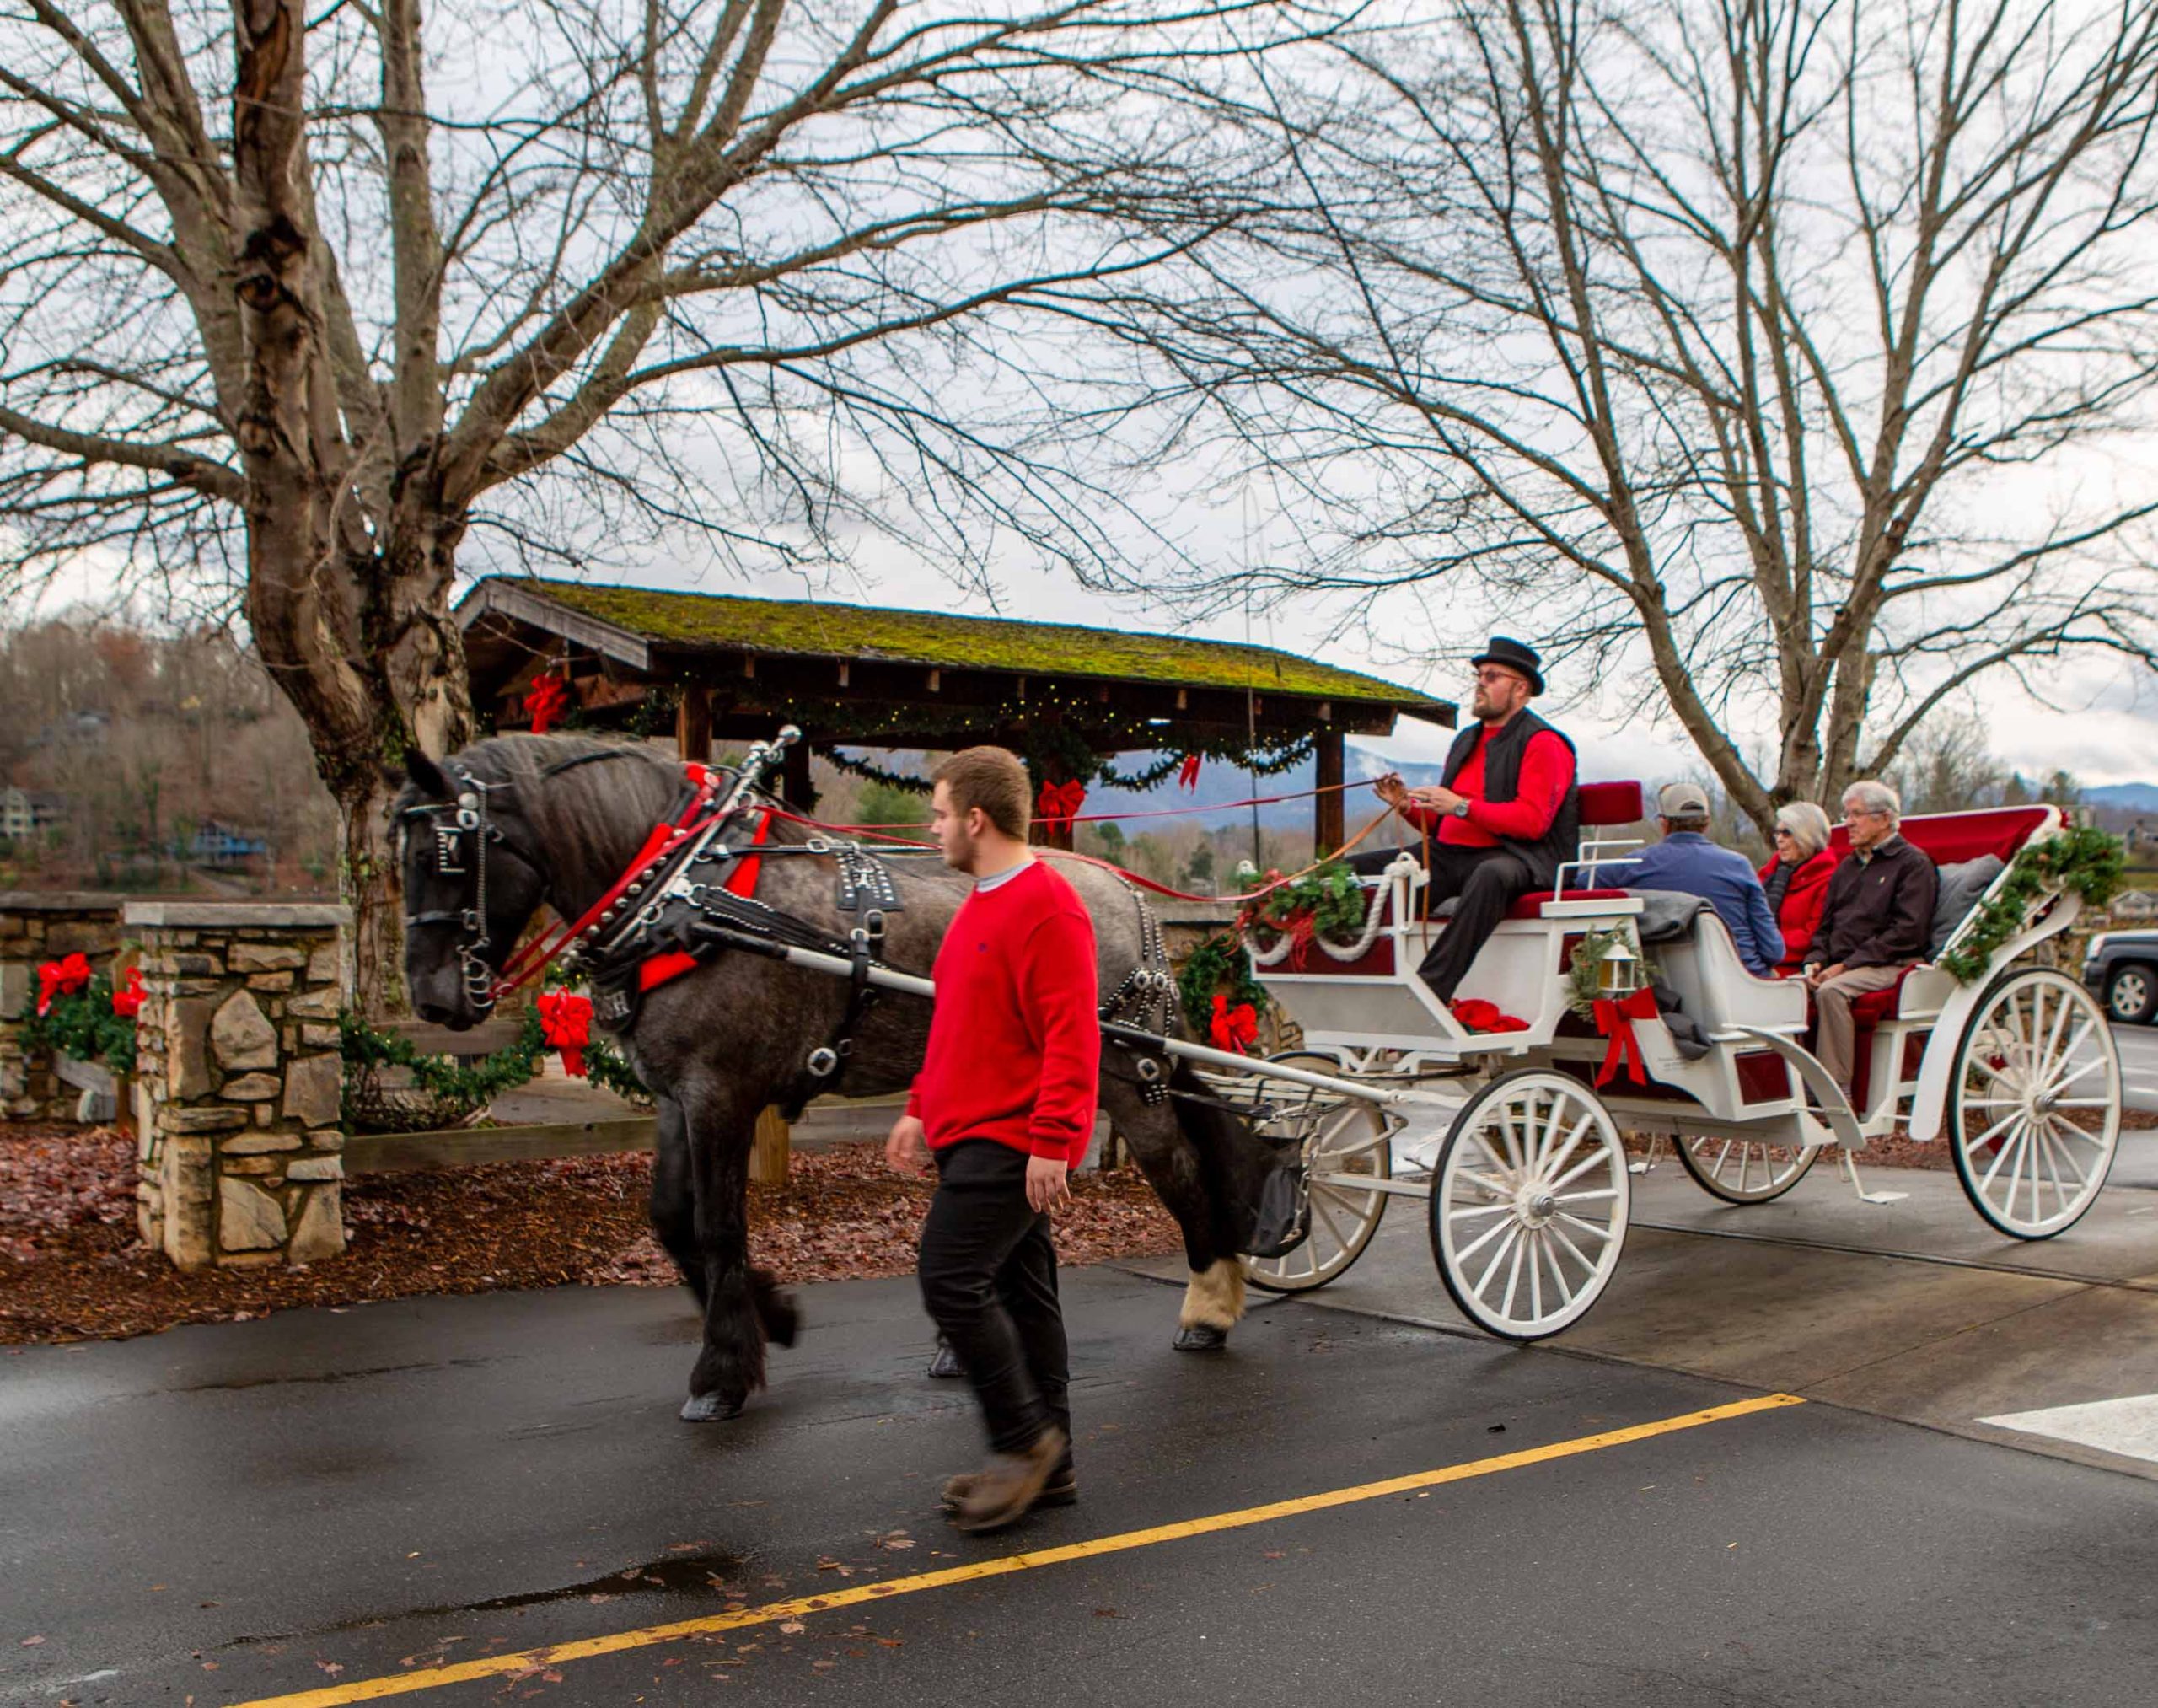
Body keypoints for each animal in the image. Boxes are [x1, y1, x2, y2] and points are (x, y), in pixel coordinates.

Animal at [390, 729, 1277, 1416]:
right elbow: (673, 1220)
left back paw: (1209, 1306)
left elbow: (716, 1227)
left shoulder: (721, 1094)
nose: (432, 997)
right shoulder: (678, 1096)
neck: (686, 891)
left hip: (1128, 1074)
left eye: (449, 852)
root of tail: (1132, 901)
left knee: (1180, 1169)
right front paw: (774, 1315)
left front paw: (722, 1373)